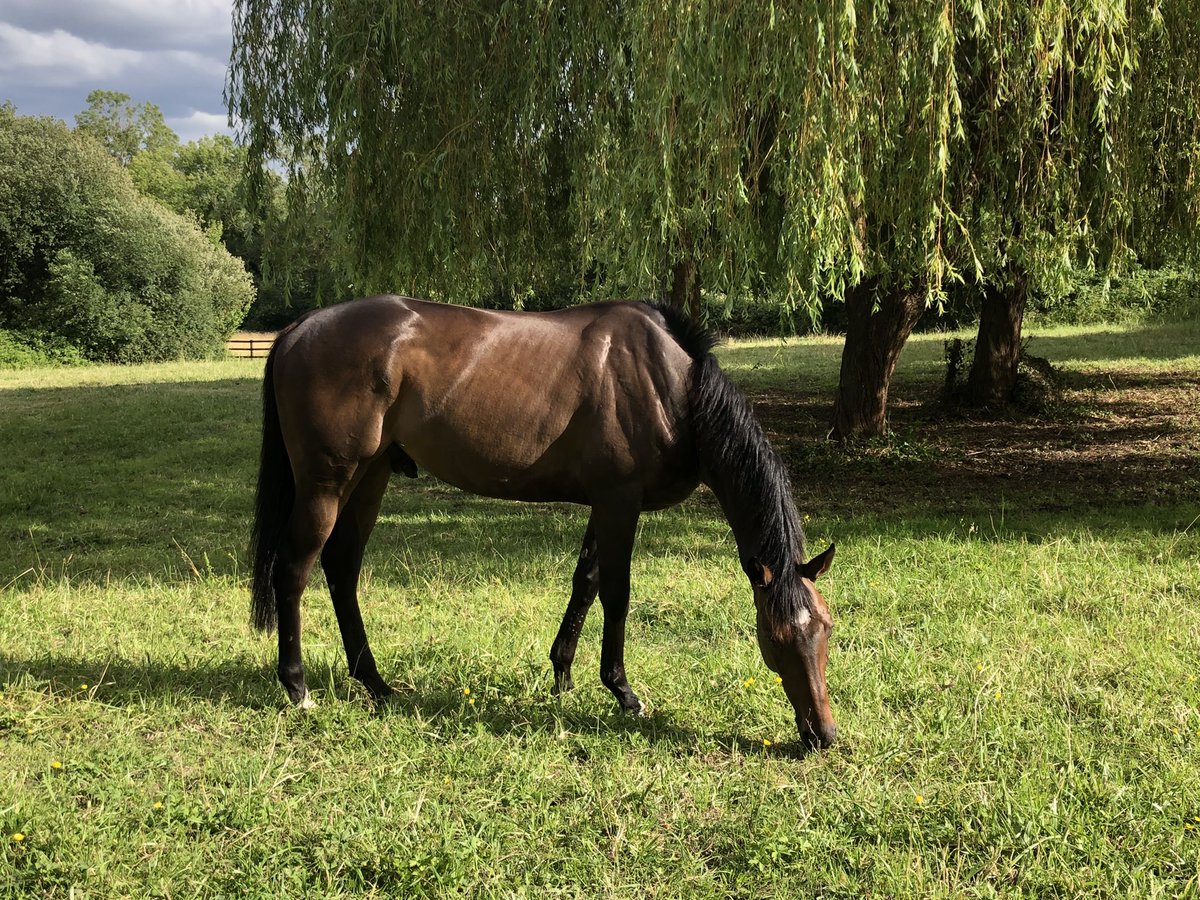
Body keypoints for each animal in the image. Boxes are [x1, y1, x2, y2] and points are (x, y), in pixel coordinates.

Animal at [250, 295, 838, 748]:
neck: (670, 385)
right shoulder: (619, 502)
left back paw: (374, 682)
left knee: (342, 569)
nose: (822, 735)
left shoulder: (605, 504)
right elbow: (616, 594)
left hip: (370, 476)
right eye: (777, 636)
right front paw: (623, 691)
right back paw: (298, 688)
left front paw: (563, 675)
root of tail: (299, 329)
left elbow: (586, 582)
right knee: (294, 570)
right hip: (327, 484)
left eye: (826, 628)